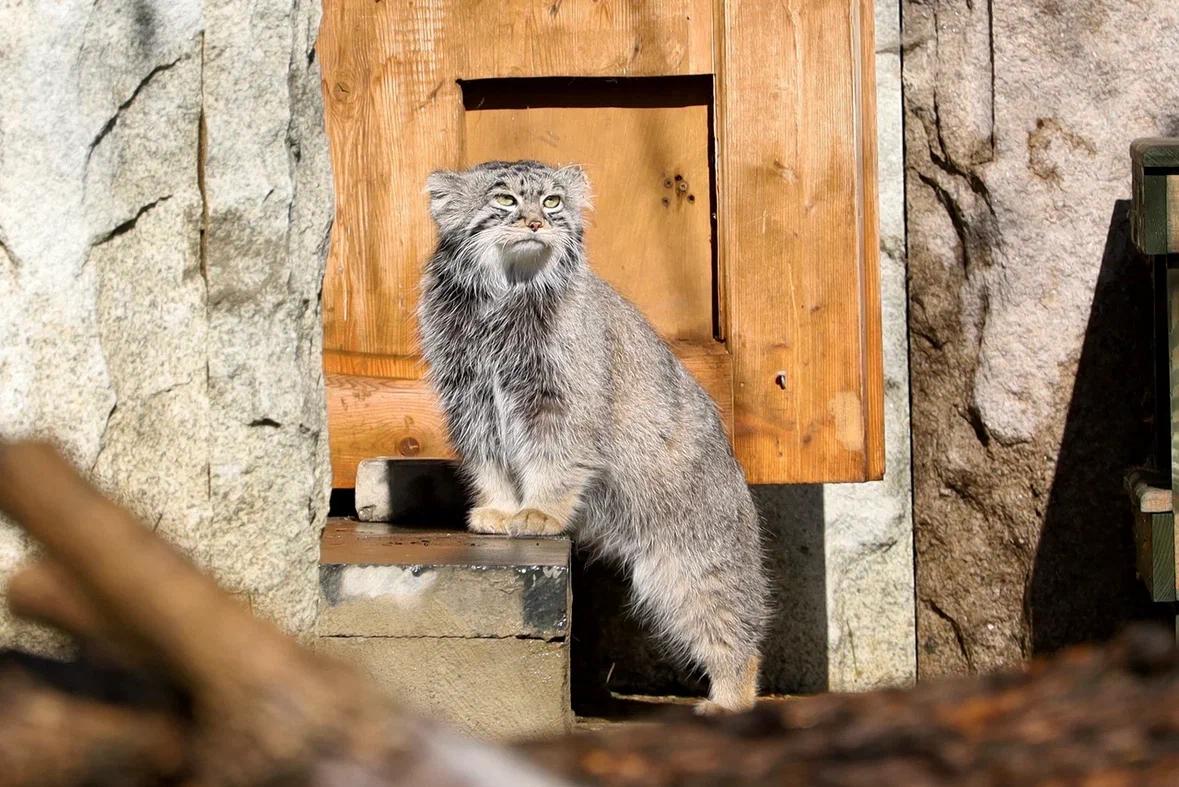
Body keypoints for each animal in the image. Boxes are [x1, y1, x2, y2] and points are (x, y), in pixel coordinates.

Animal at [419, 160, 768, 711]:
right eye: (503, 200)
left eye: (553, 201)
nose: (537, 222)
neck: (502, 300)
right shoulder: (471, 401)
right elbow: (490, 463)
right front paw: (499, 509)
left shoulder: (561, 403)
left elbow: (555, 462)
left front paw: (540, 512)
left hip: (693, 563)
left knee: (734, 628)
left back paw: (730, 700)